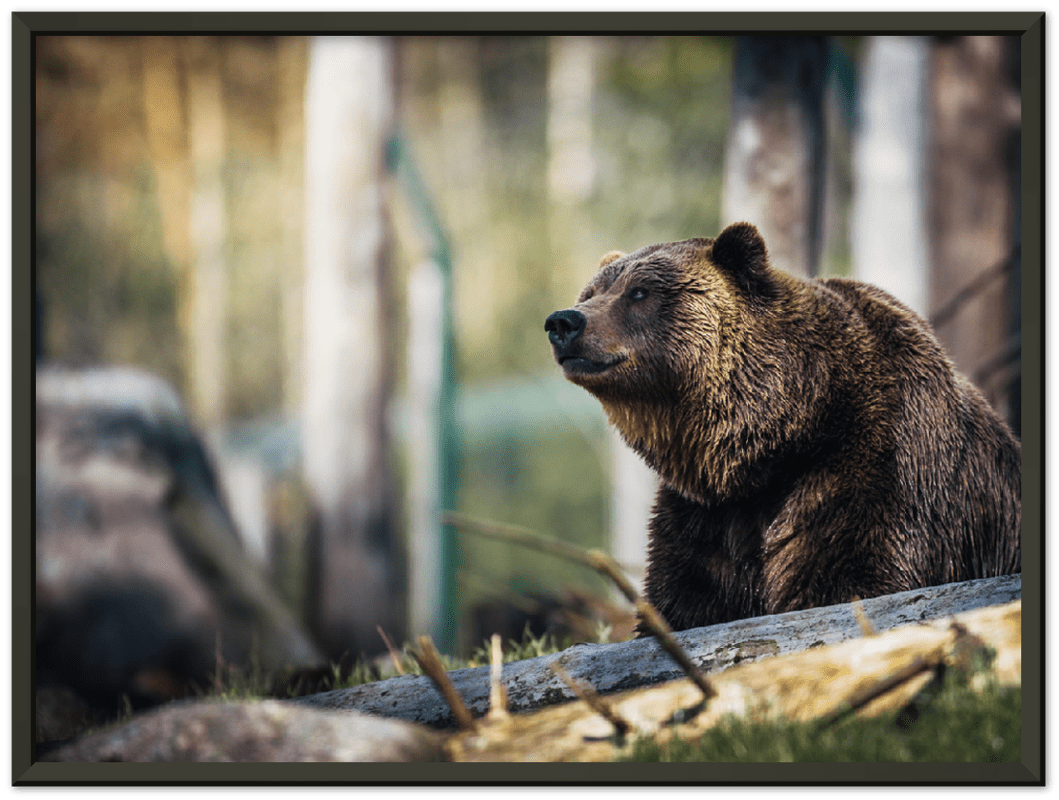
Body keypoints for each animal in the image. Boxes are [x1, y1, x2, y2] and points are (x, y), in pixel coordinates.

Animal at [545, 222, 1021, 633]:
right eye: (591, 291)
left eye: (640, 291)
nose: (564, 321)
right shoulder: (707, 516)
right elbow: (685, 598)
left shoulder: (875, 467)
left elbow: (850, 577)